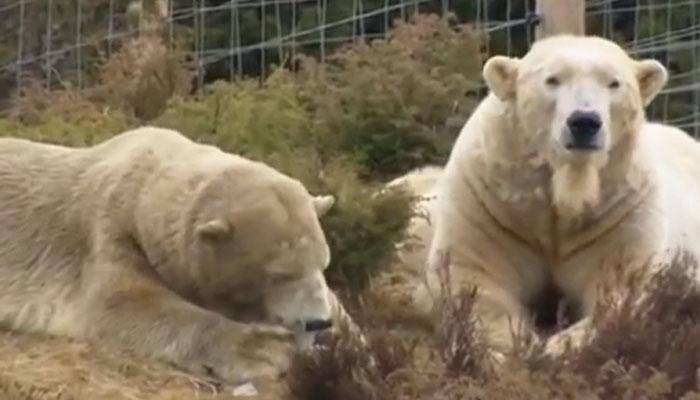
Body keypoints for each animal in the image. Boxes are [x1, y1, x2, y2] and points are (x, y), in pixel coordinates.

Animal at [0, 126, 356, 384]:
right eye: (281, 273)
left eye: (323, 264)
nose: (317, 322)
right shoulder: (107, 231)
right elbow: (126, 302)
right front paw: (266, 348)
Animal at [396, 35, 700, 357]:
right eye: (552, 79)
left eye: (614, 83)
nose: (584, 121)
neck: (567, 188)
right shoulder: (489, 201)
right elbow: (473, 274)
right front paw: (510, 347)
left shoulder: (619, 208)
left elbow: (623, 287)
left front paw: (558, 346)